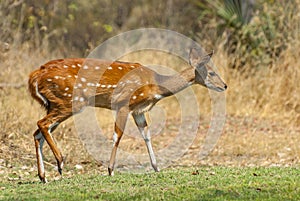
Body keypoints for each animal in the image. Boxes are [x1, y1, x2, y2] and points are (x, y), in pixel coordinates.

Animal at [28, 48, 227, 182]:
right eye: (211, 72)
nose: (225, 85)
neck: (155, 86)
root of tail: (34, 76)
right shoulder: (123, 103)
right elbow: (117, 135)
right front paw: (110, 170)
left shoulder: (138, 110)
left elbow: (146, 135)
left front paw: (156, 168)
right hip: (69, 101)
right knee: (42, 124)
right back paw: (60, 162)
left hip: (55, 103)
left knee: (38, 132)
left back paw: (43, 176)